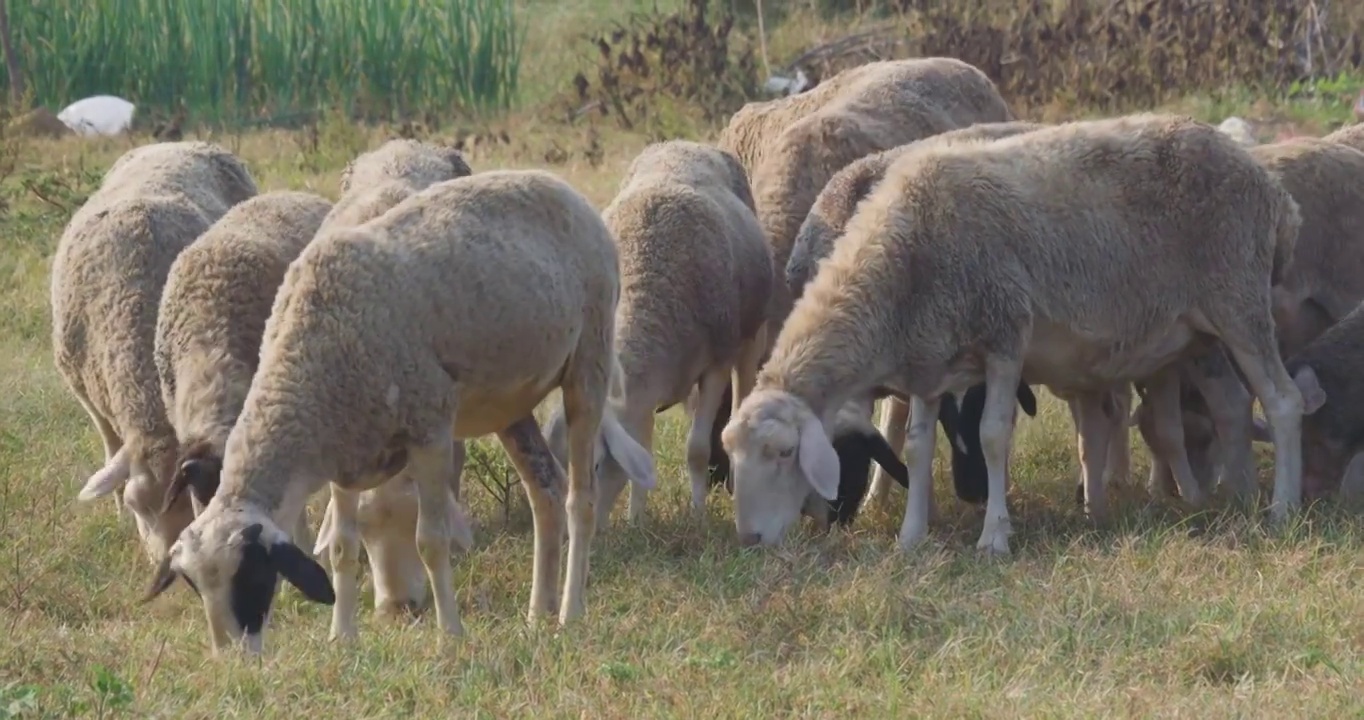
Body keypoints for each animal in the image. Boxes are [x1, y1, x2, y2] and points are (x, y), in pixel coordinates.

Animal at [141, 171, 657, 654]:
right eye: (194, 584)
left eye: (250, 575)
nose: (233, 657)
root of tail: (558, 185)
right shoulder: (346, 456)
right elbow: (343, 547)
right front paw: (342, 635)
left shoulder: (429, 432)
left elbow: (430, 541)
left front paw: (450, 634)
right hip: (509, 404)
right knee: (545, 490)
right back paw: (538, 613)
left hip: (588, 363)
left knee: (580, 499)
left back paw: (571, 611)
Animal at [545, 140, 780, 526]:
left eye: (596, 466)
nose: (576, 532)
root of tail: (685, 143)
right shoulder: (642, 394)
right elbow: (643, 446)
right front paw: (636, 518)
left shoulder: (715, 365)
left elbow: (697, 449)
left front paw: (698, 514)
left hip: (750, 335)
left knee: (742, 395)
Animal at [720, 112, 1303, 553]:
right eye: (731, 452)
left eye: (782, 453)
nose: (749, 539)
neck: (902, 261)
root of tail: (1269, 186)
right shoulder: (930, 361)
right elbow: (917, 448)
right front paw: (911, 537)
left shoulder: (1004, 338)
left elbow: (993, 436)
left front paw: (994, 536)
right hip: (1196, 332)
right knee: (1232, 403)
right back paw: (1238, 497)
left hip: (1238, 300)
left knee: (1281, 400)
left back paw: (1282, 508)